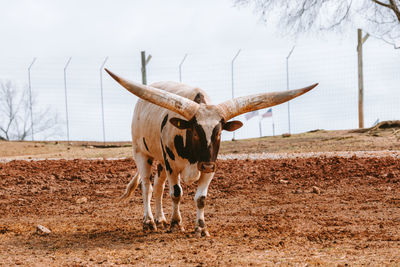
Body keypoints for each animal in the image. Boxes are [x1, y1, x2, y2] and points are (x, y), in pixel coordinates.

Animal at [106, 68, 318, 237]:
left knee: (158, 187)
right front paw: (176, 224)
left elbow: (201, 198)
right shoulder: (172, 166)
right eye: (195, 131)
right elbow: (176, 193)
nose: (206, 164)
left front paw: (201, 228)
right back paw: (149, 222)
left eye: (219, 132)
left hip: (161, 162)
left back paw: (160, 219)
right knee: (147, 187)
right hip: (142, 153)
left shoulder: (209, 168)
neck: (194, 157)